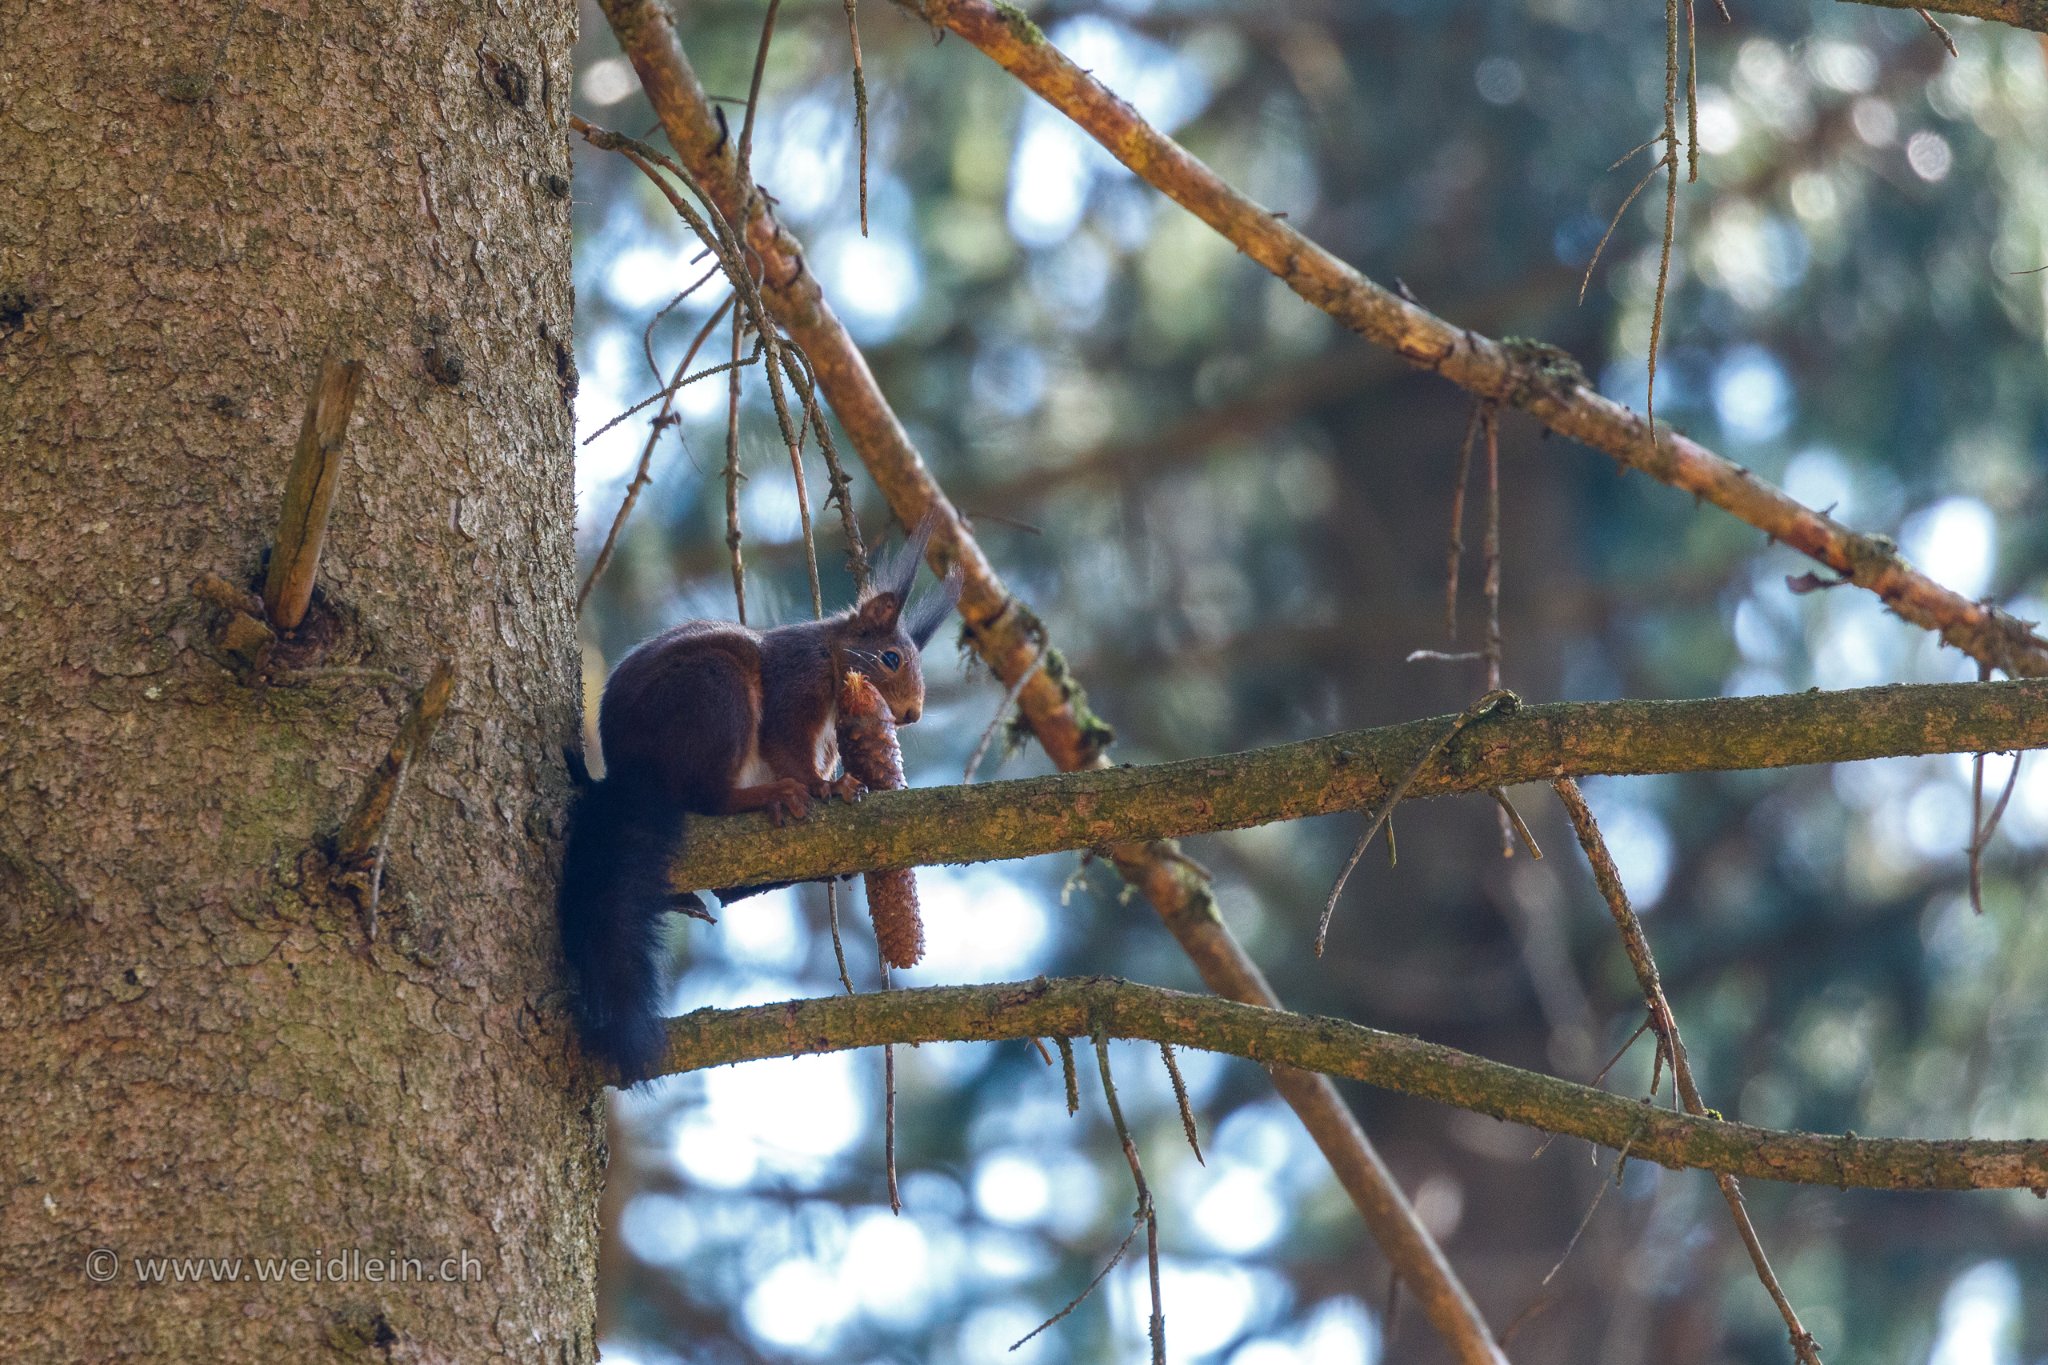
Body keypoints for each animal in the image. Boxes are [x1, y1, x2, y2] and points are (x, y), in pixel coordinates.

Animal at [558, 515, 962, 1084]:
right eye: (891, 659)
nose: (911, 715)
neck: (829, 657)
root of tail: (631, 776)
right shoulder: (793, 690)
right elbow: (785, 747)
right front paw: (826, 787)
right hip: (716, 693)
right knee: (707, 796)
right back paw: (769, 795)